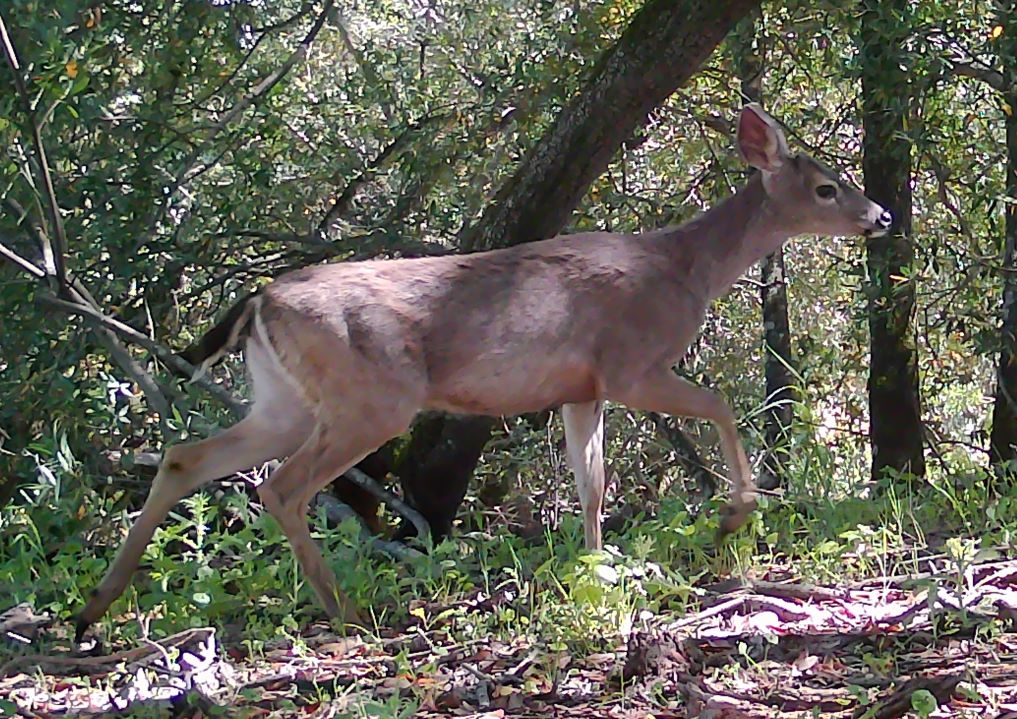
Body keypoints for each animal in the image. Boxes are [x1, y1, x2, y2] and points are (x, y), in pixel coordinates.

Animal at [75, 104, 892, 640]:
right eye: (825, 186)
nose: (880, 215)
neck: (685, 269)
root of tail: (258, 299)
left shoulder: (581, 388)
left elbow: (591, 484)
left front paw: (595, 568)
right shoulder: (631, 363)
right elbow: (720, 403)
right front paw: (734, 514)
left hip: (284, 399)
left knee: (187, 455)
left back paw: (95, 606)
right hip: (372, 397)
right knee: (282, 485)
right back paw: (345, 612)